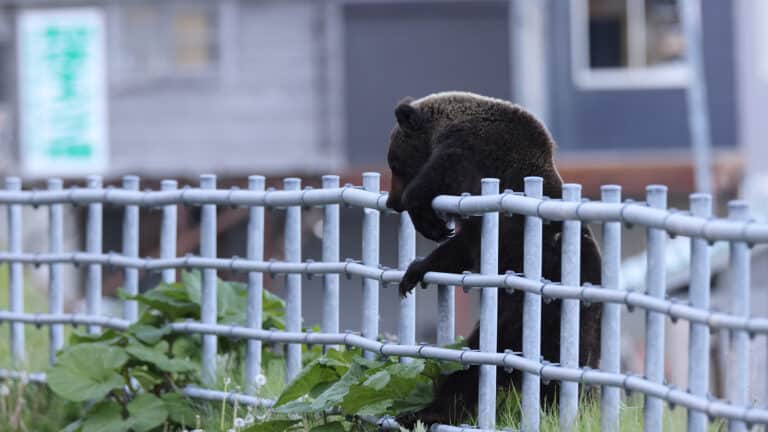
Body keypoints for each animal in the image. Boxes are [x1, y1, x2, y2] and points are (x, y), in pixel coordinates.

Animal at [385, 91, 603, 426]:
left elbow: (436, 178)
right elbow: (459, 249)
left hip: (529, 308)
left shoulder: (470, 153)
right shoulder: (476, 226)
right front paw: (414, 271)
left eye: (393, 163)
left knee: (477, 361)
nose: (391, 201)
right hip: (575, 325)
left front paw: (427, 220)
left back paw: (426, 412)